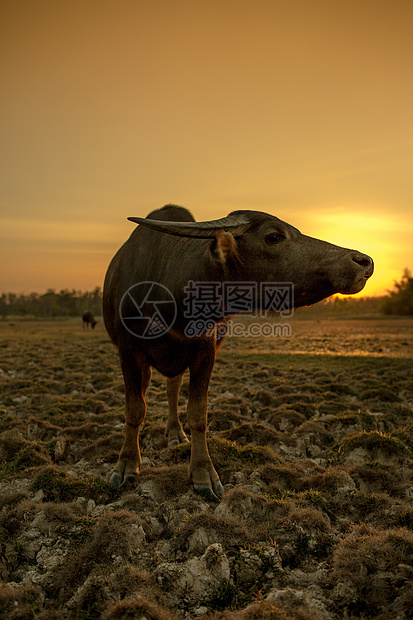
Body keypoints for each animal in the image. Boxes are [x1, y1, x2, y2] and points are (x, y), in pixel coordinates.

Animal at [101, 206, 372, 502]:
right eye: (274, 236)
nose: (363, 261)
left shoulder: (205, 352)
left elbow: (198, 414)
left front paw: (203, 474)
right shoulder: (128, 351)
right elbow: (135, 409)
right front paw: (126, 465)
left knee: (173, 388)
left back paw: (175, 433)